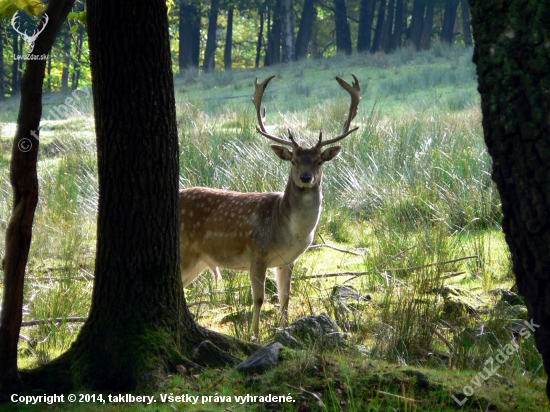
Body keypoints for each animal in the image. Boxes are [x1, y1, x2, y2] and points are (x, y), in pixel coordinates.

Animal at [181, 75, 362, 338]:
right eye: (294, 161)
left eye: (319, 161)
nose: (306, 177)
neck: (289, 230)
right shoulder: (257, 253)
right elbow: (259, 299)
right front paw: (254, 334)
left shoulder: (288, 260)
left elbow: (285, 297)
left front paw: (285, 329)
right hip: (184, 251)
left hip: (200, 261)